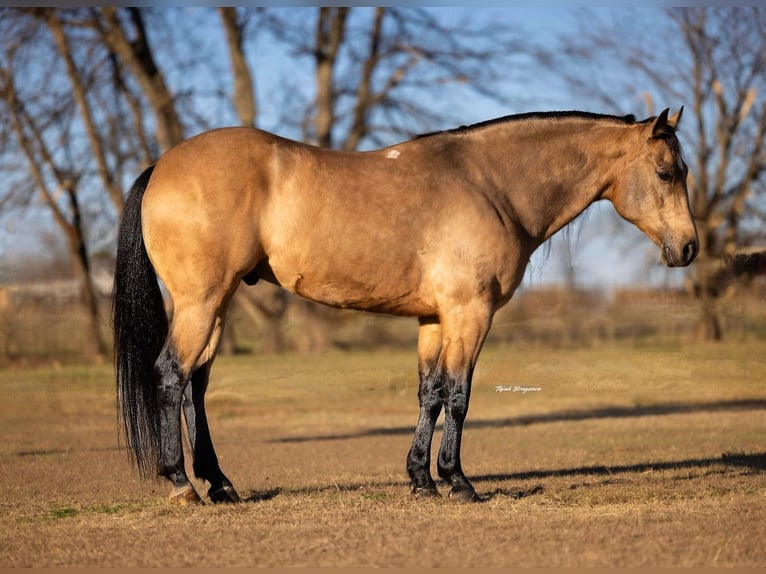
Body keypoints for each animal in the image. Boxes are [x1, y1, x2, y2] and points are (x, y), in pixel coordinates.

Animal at [113, 107, 698, 504]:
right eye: (666, 173)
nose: (689, 248)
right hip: (201, 301)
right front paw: (458, 482)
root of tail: (162, 165)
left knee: (197, 385)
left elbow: (429, 395)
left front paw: (421, 480)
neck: (490, 185)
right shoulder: (469, 314)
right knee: (171, 375)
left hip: (217, 303)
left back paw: (220, 484)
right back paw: (182, 484)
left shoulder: (435, 318)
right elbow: (459, 396)